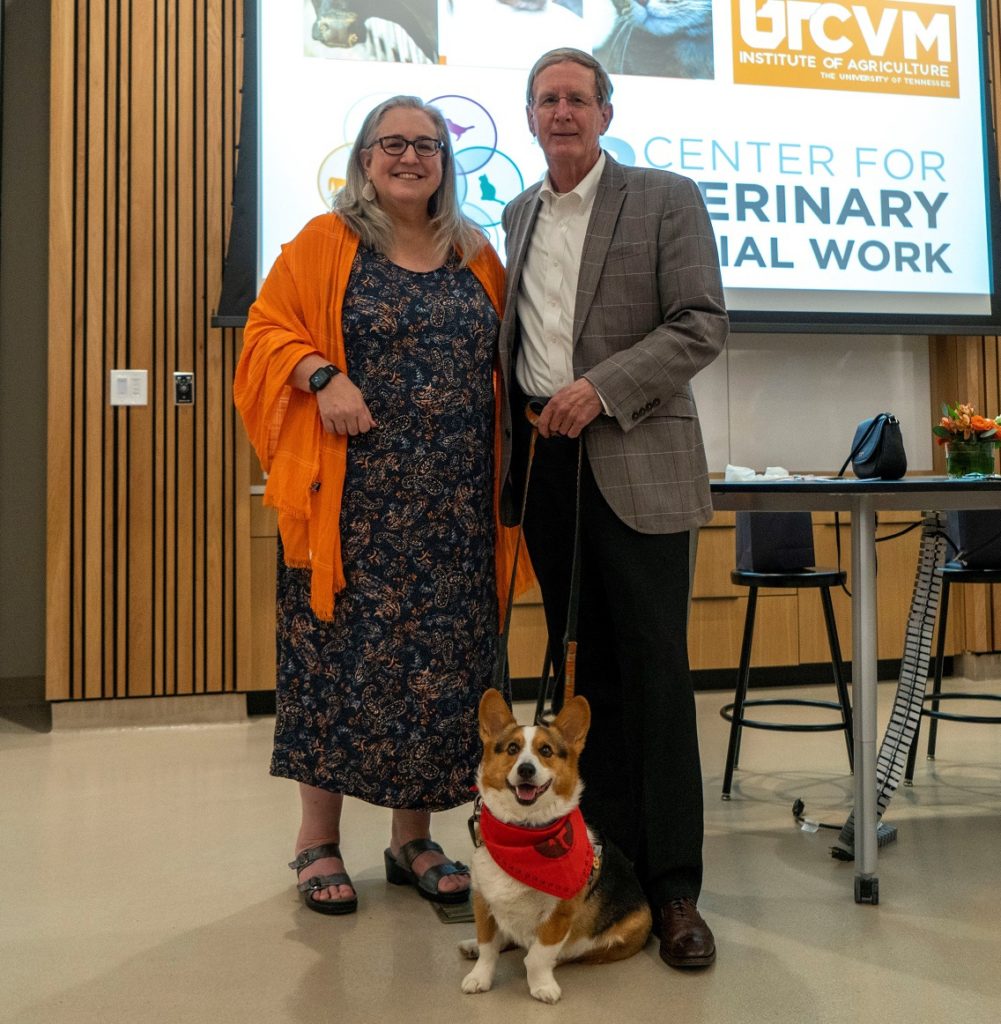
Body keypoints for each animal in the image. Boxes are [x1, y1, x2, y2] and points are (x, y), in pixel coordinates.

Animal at [458, 688, 650, 999]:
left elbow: (538, 955)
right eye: (512, 749)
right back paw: (472, 945)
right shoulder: (483, 900)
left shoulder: (558, 915)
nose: (525, 769)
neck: (523, 833)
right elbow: (488, 947)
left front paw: (542, 986)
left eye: (546, 751)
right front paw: (479, 977)